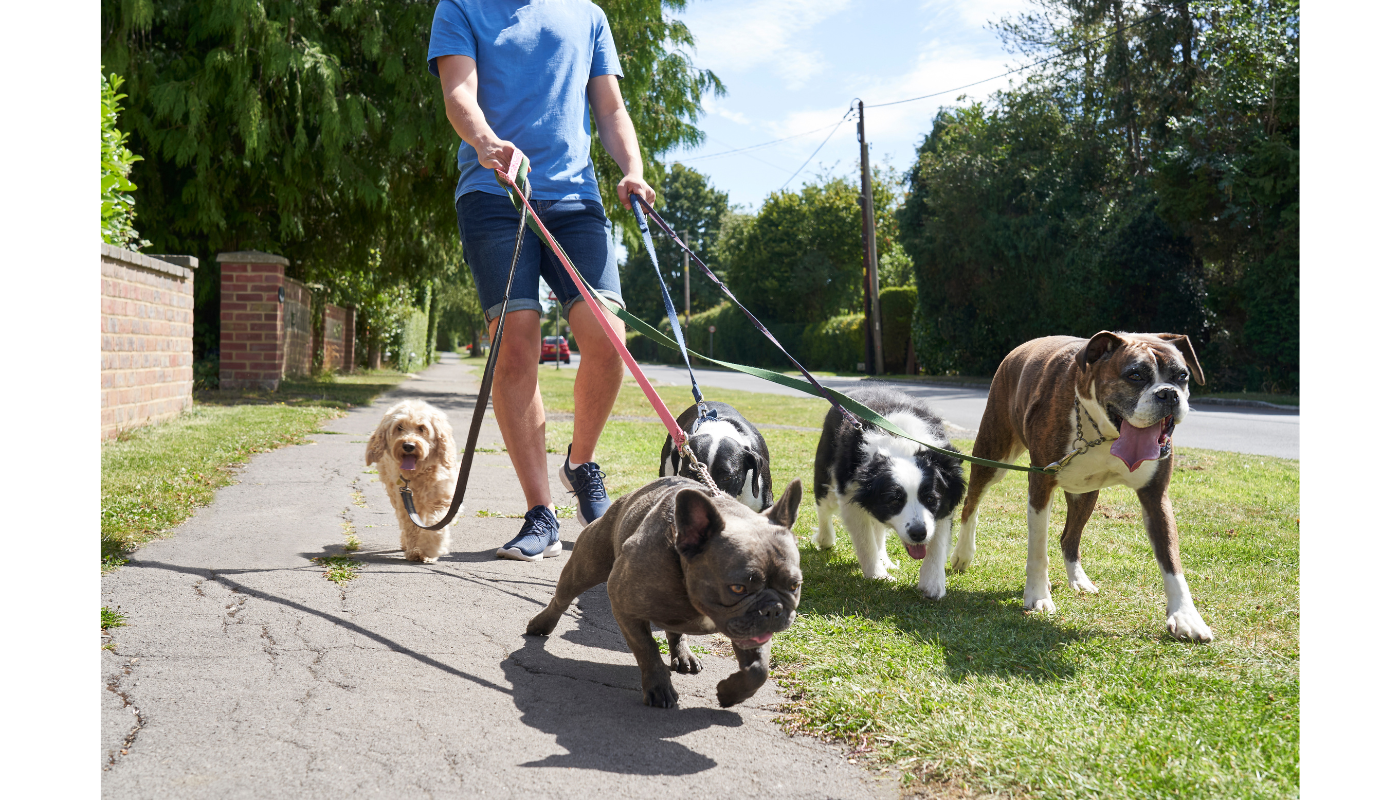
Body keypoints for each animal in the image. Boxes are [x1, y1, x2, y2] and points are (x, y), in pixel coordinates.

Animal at [366, 400, 459, 563]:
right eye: (399, 427)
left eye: (422, 428)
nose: (408, 445)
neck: (420, 474)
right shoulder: (407, 502)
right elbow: (411, 527)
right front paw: (415, 550)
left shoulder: (444, 501)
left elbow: (436, 525)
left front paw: (429, 549)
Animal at [526, 476, 812, 706]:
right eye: (738, 588)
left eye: (794, 586)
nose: (773, 609)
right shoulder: (623, 606)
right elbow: (647, 649)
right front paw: (659, 688)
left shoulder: (751, 631)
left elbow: (759, 669)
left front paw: (730, 693)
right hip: (586, 566)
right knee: (562, 598)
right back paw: (541, 623)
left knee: (676, 630)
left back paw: (683, 655)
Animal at [952, 332, 1215, 644]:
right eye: (1135, 375)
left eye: (1182, 376)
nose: (1168, 394)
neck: (1105, 434)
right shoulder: (1041, 483)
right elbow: (1037, 549)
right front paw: (1038, 596)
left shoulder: (1155, 497)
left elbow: (1171, 560)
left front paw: (1186, 617)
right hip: (993, 456)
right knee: (971, 503)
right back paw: (962, 554)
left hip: (1084, 494)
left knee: (1070, 537)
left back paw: (1078, 580)